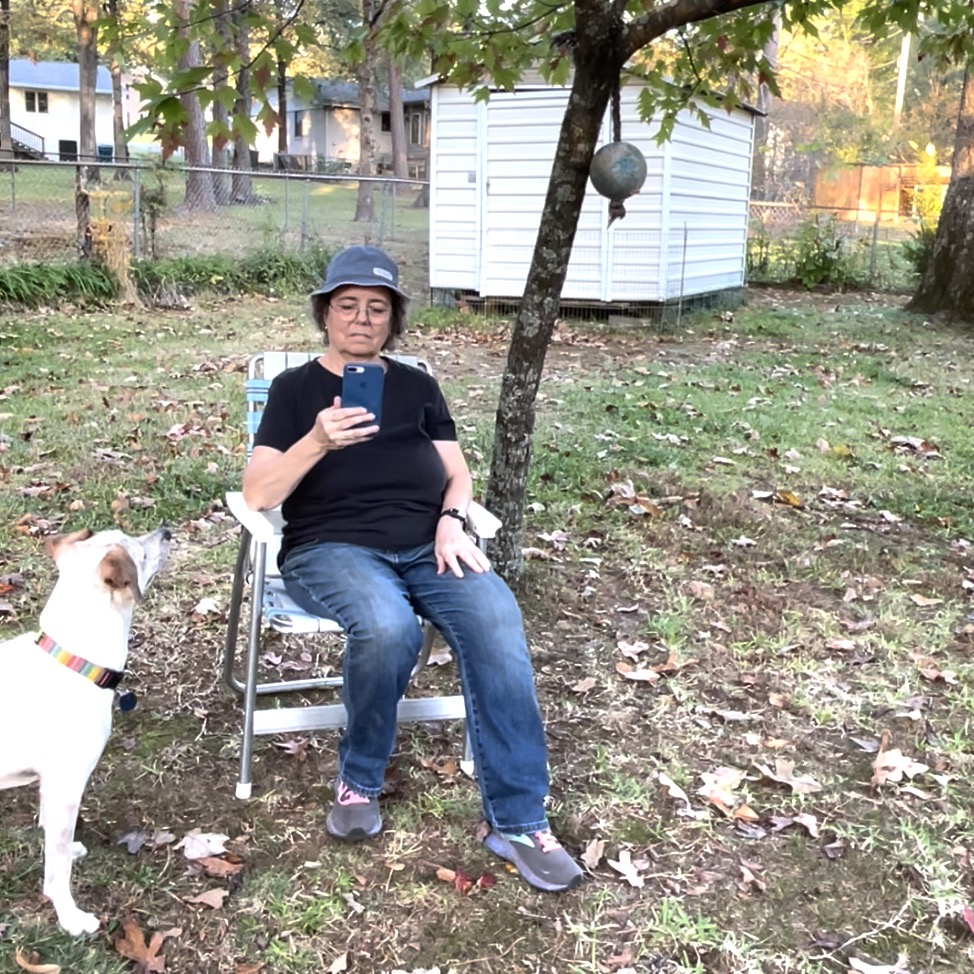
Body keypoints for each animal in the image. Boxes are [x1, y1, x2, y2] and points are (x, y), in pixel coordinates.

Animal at [0, 528, 172, 936]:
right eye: (141, 552)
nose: (166, 531)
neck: (74, 663)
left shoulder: (52, 785)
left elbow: (54, 837)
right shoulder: (67, 785)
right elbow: (57, 869)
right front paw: (70, 917)